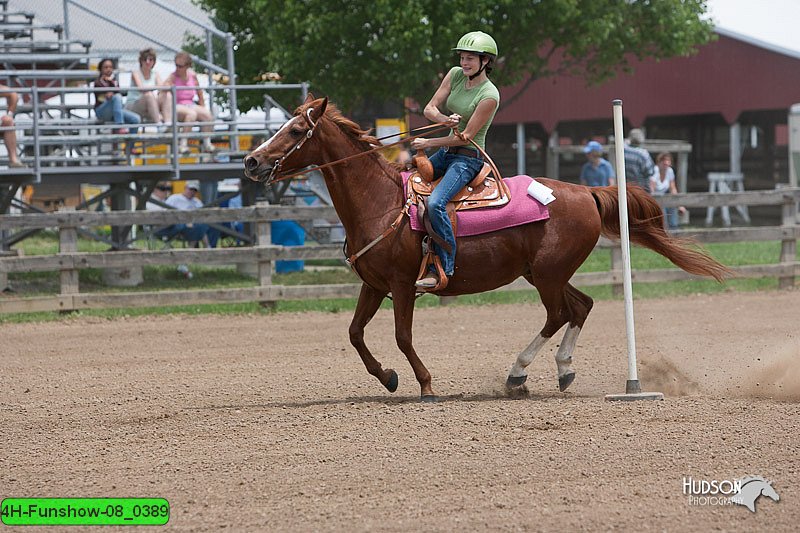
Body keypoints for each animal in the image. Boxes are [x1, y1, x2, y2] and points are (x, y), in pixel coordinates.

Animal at [245, 97, 732, 402]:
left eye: (294, 129)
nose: (251, 161)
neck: (380, 203)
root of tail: (587, 192)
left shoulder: (402, 285)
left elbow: (402, 336)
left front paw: (425, 385)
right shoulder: (374, 285)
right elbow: (354, 333)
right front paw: (388, 378)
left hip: (548, 274)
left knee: (559, 313)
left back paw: (519, 372)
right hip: (545, 273)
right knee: (580, 307)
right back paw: (561, 370)